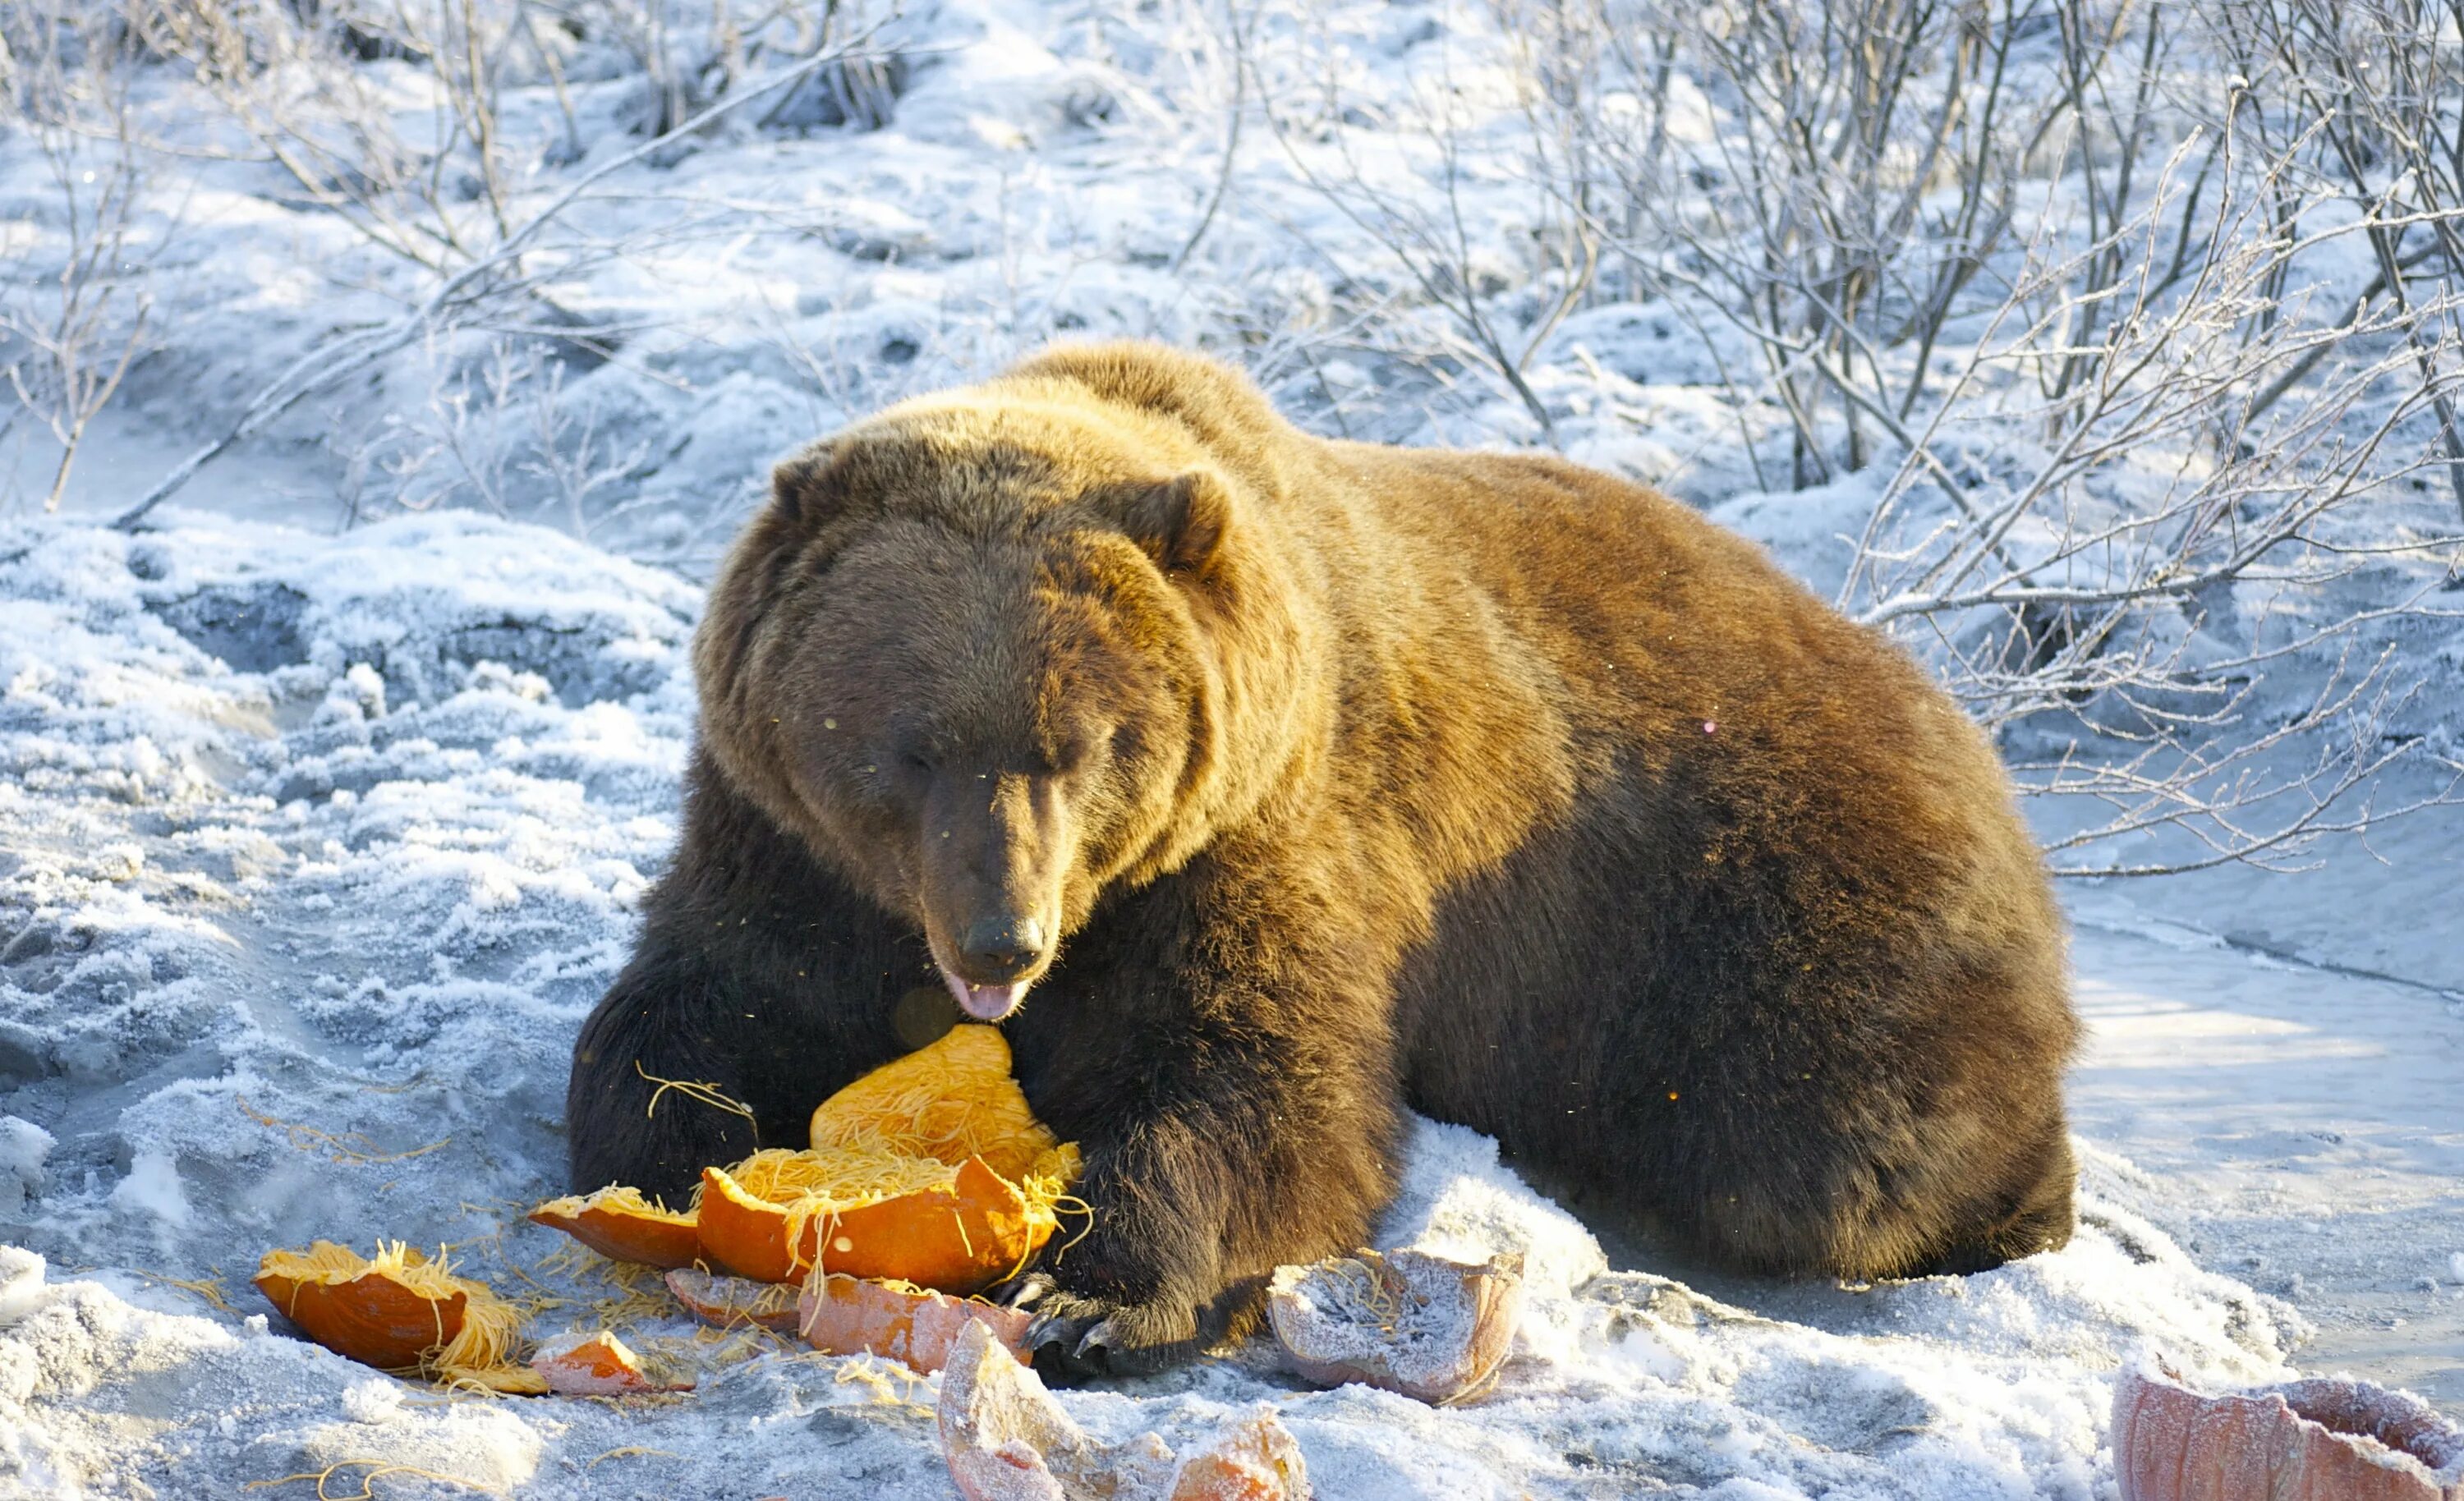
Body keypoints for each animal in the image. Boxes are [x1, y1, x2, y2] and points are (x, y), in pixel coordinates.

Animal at [572, 340, 2080, 1370]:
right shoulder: (789, 846)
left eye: (1081, 745)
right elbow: (697, 999)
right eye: (909, 745)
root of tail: (1975, 743)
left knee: (1824, 1141)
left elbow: (1263, 1087)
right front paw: (681, 1146)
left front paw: (1090, 1289)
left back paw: (2007, 1203)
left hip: (1758, 902)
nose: (1003, 937)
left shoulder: (1262, 840)